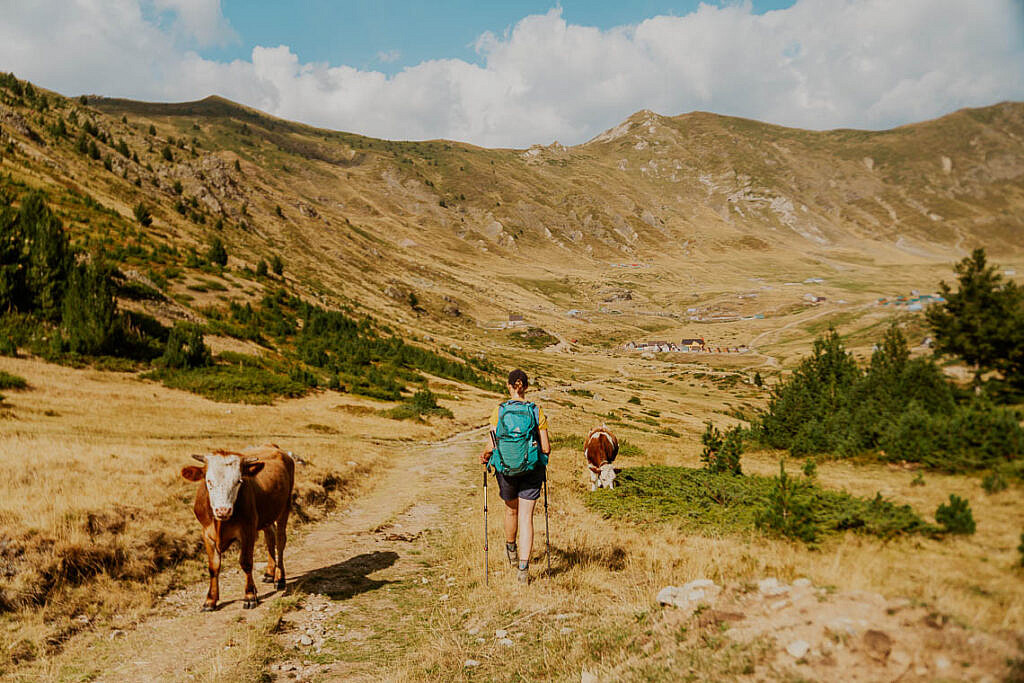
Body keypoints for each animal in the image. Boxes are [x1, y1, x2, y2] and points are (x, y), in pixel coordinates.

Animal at [178, 446, 292, 610]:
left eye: (239, 481)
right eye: (209, 481)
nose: (223, 510)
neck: (220, 524)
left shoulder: (248, 531)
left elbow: (246, 562)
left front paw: (249, 595)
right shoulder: (206, 533)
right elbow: (213, 566)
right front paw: (210, 599)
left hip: (284, 508)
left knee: (280, 541)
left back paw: (279, 577)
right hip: (266, 516)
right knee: (270, 537)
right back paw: (269, 573)